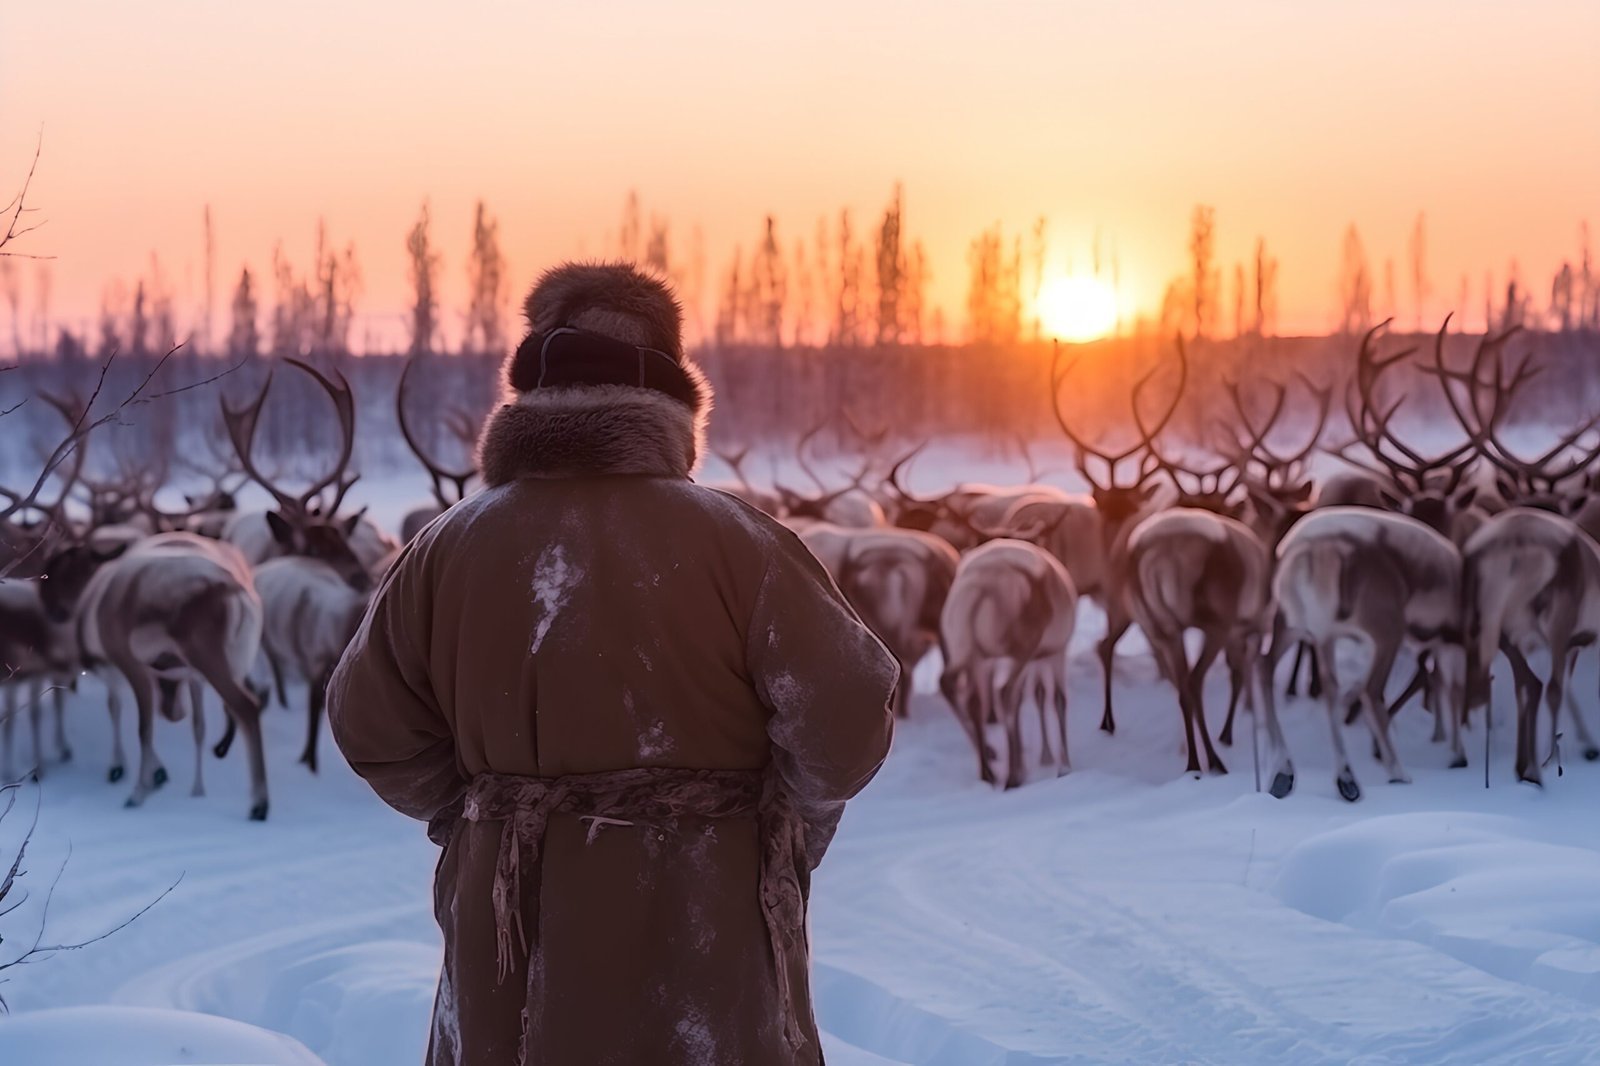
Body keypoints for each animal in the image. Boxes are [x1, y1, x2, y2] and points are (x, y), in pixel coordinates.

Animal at [939, 539, 1078, 788]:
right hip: (1018, 652)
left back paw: (989, 769)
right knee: (1003, 692)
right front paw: (1064, 766)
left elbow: (1032, 695)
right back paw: (1013, 776)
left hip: (968, 651)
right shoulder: (1056, 652)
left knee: (959, 690)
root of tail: (981, 583)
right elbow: (1058, 699)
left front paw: (1043, 757)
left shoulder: (1029, 660)